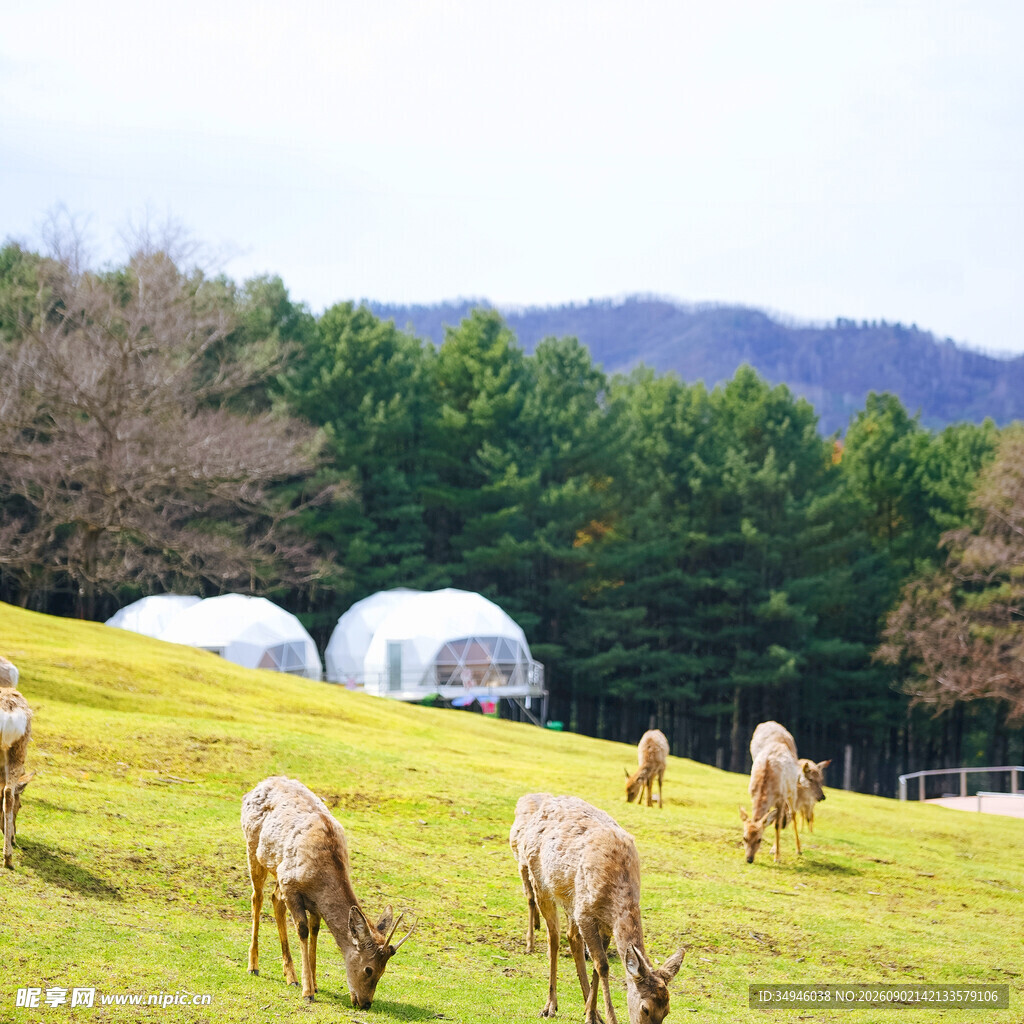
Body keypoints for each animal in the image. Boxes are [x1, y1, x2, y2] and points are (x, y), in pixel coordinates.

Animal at [241, 776, 414, 1008]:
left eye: (384, 970)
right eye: (369, 969)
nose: (365, 1003)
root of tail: (258, 785)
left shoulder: (311, 900)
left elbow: (315, 931)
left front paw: (314, 984)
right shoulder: (291, 886)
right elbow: (303, 930)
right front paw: (307, 992)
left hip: (278, 869)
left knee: (275, 898)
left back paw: (290, 976)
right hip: (254, 850)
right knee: (257, 898)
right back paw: (254, 966)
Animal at [510, 793, 685, 1024]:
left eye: (667, 1011)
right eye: (645, 1008)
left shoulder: (603, 923)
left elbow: (595, 964)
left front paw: (592, 1013)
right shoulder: (586, 912)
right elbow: (602, 965)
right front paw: (609, 1018)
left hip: (571, 899)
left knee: (572, 937)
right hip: (540, 881)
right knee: (553, 936)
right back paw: (550, 1006)